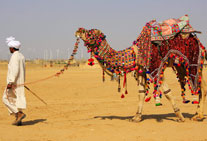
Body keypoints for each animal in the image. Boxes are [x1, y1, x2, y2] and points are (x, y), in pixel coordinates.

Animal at [74, 14, 205, 121]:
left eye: (90, 33)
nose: (78, 30)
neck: (135, 53)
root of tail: (197, 40)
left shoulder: (156, 68)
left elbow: (167, 92)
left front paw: (180, 116)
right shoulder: (141, 70)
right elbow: (141, 93)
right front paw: (136, 117)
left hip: (193, 62)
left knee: (201, 86)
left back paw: (198, 116)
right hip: (181, 66)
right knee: (201, 85)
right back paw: (197, 115)